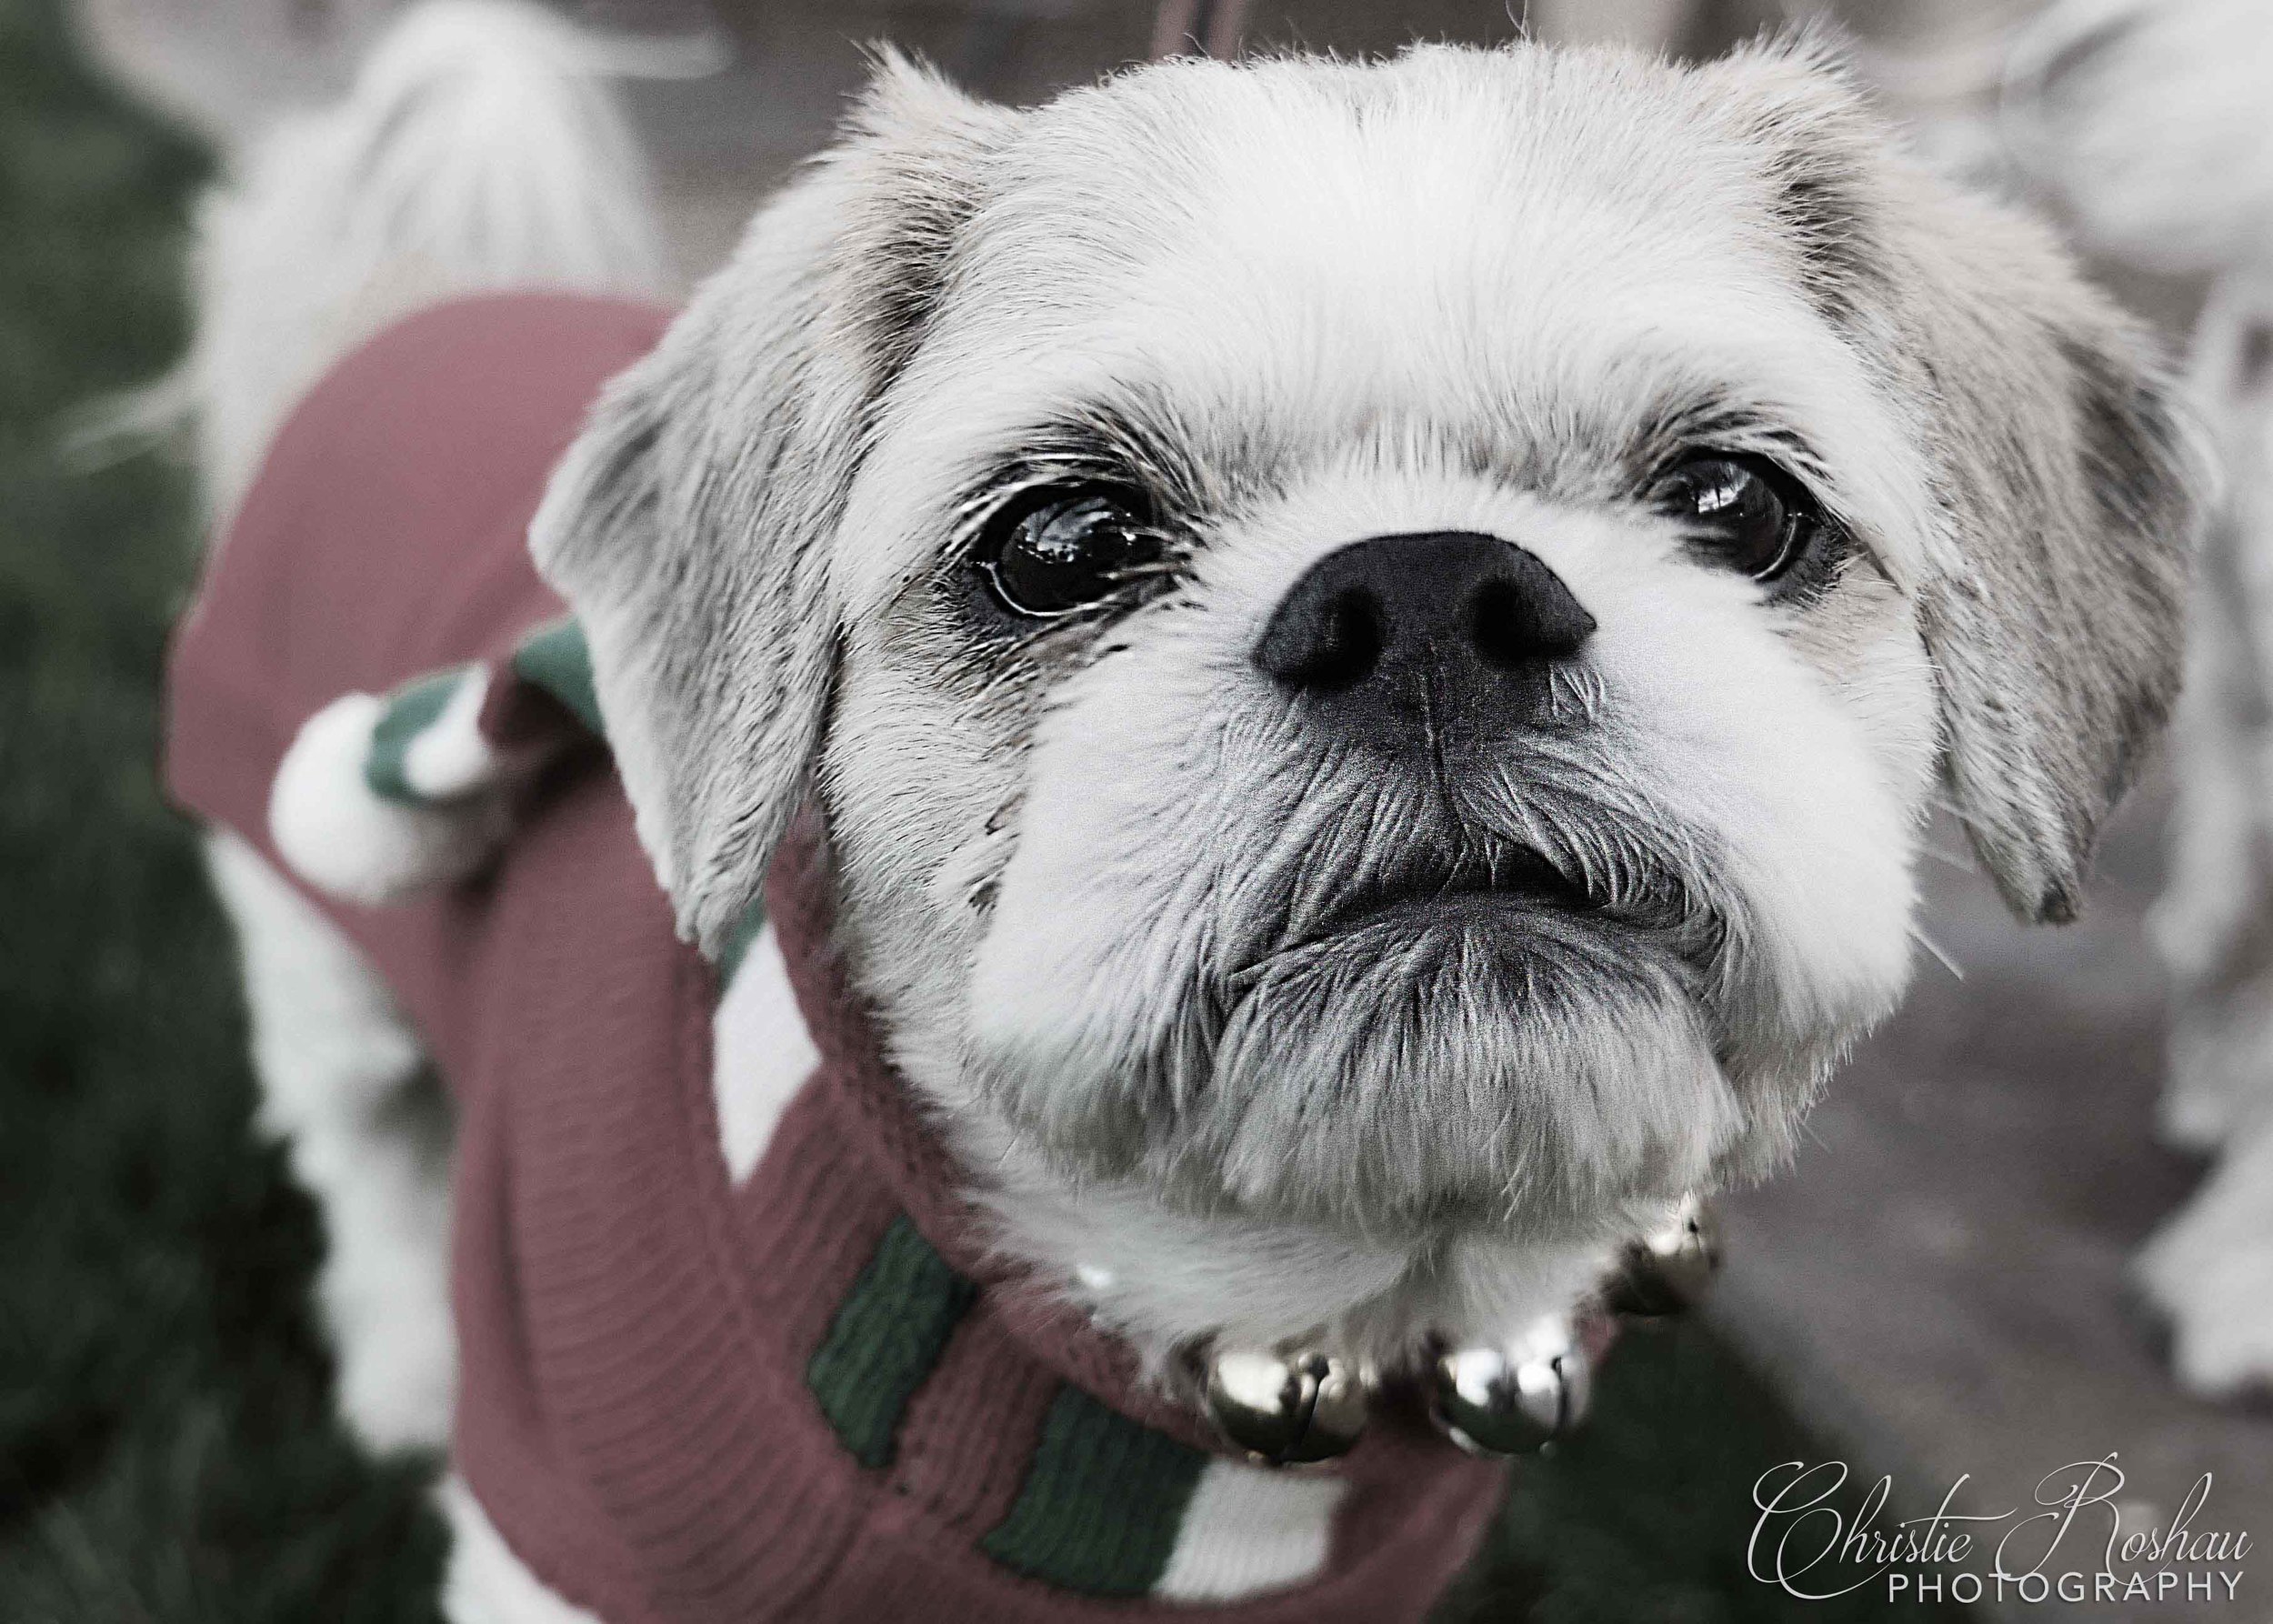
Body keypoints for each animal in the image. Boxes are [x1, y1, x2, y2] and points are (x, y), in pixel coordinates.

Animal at [177, 5, 2200, 1609]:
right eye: (1063, 542)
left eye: (1736, 502)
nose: (1428, 596)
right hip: (308, 935)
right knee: (367, 1150)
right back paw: (404, 1364)